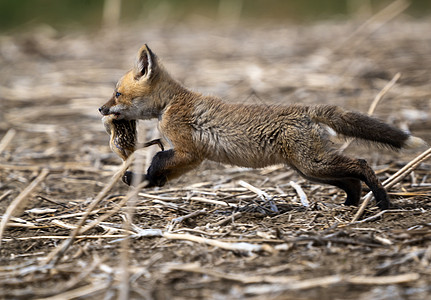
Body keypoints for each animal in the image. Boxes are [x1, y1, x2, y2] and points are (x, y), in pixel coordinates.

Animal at [99, 44, 426, 210]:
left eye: (117, 94)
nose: (101, 109)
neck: (170, 104)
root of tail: (307, 110)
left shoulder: (190, 152)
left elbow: (157, 159)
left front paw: (146, 178)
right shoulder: (188, 157)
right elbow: (160, 167)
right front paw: (145, 182)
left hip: (314, 165)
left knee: (361, 164)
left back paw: (382, 200)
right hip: (309, 170)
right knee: (352, 179)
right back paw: (352, 203)